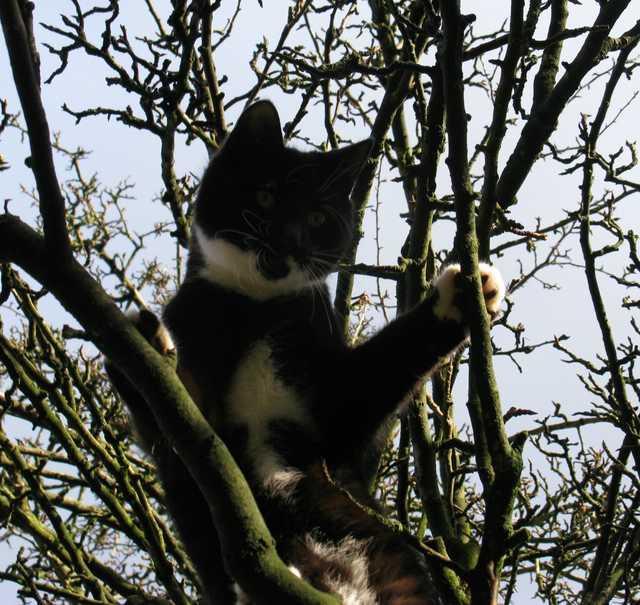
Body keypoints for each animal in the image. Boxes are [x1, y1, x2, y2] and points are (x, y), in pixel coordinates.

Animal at [108, 100, 505, 605]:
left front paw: (461, 295)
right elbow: (165, 423)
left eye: (317, 218)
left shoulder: (332, 409)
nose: (290, 240)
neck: (256, 310)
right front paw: (143, 345)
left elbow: (371, 384)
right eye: (265, 197)